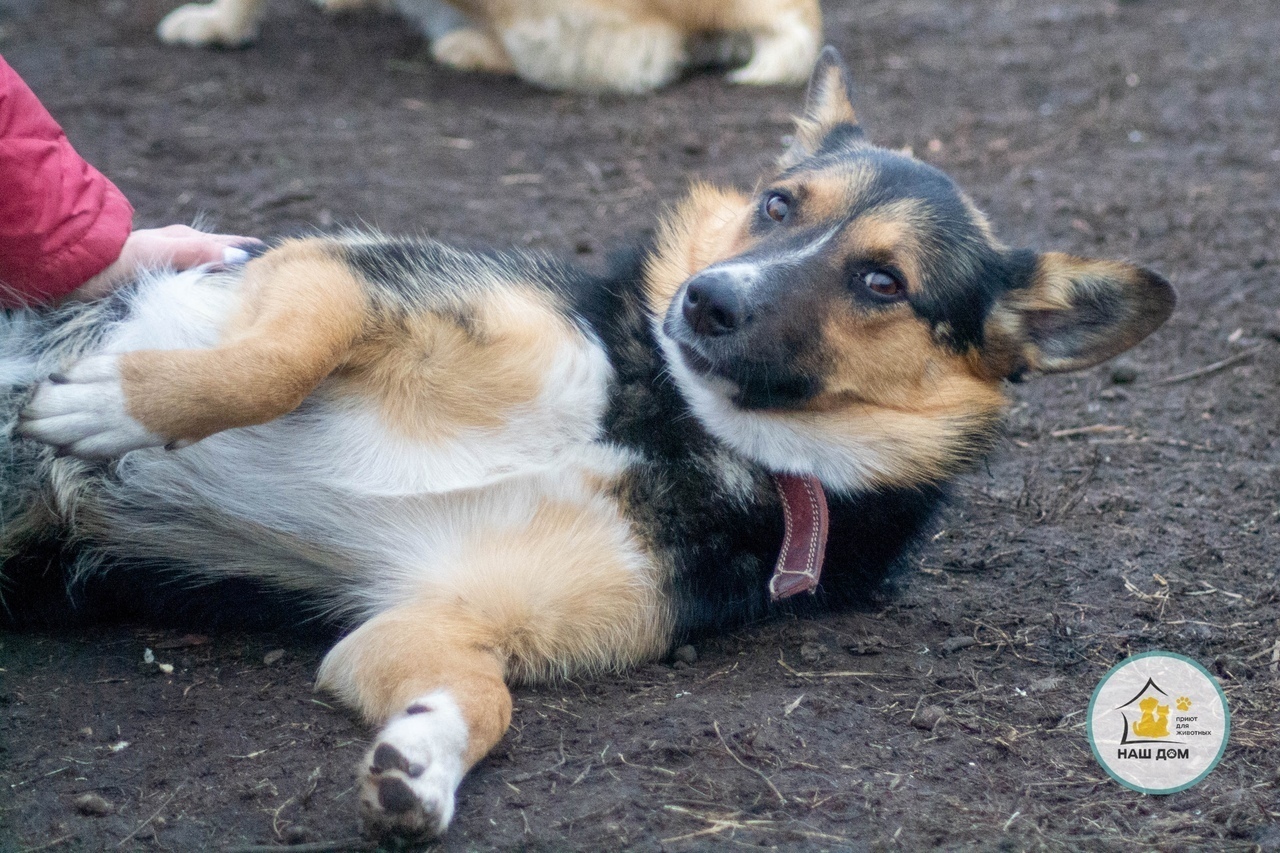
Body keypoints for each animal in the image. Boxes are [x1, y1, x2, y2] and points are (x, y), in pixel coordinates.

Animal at [2, 48, 1177, 835]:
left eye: (882, 281)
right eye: (776, 204)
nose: (705, 301)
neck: (666, 425)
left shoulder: (432, 619)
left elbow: (485, 701)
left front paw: (421, 761)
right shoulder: (335, 276)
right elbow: (271, 359)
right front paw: (118, 409)